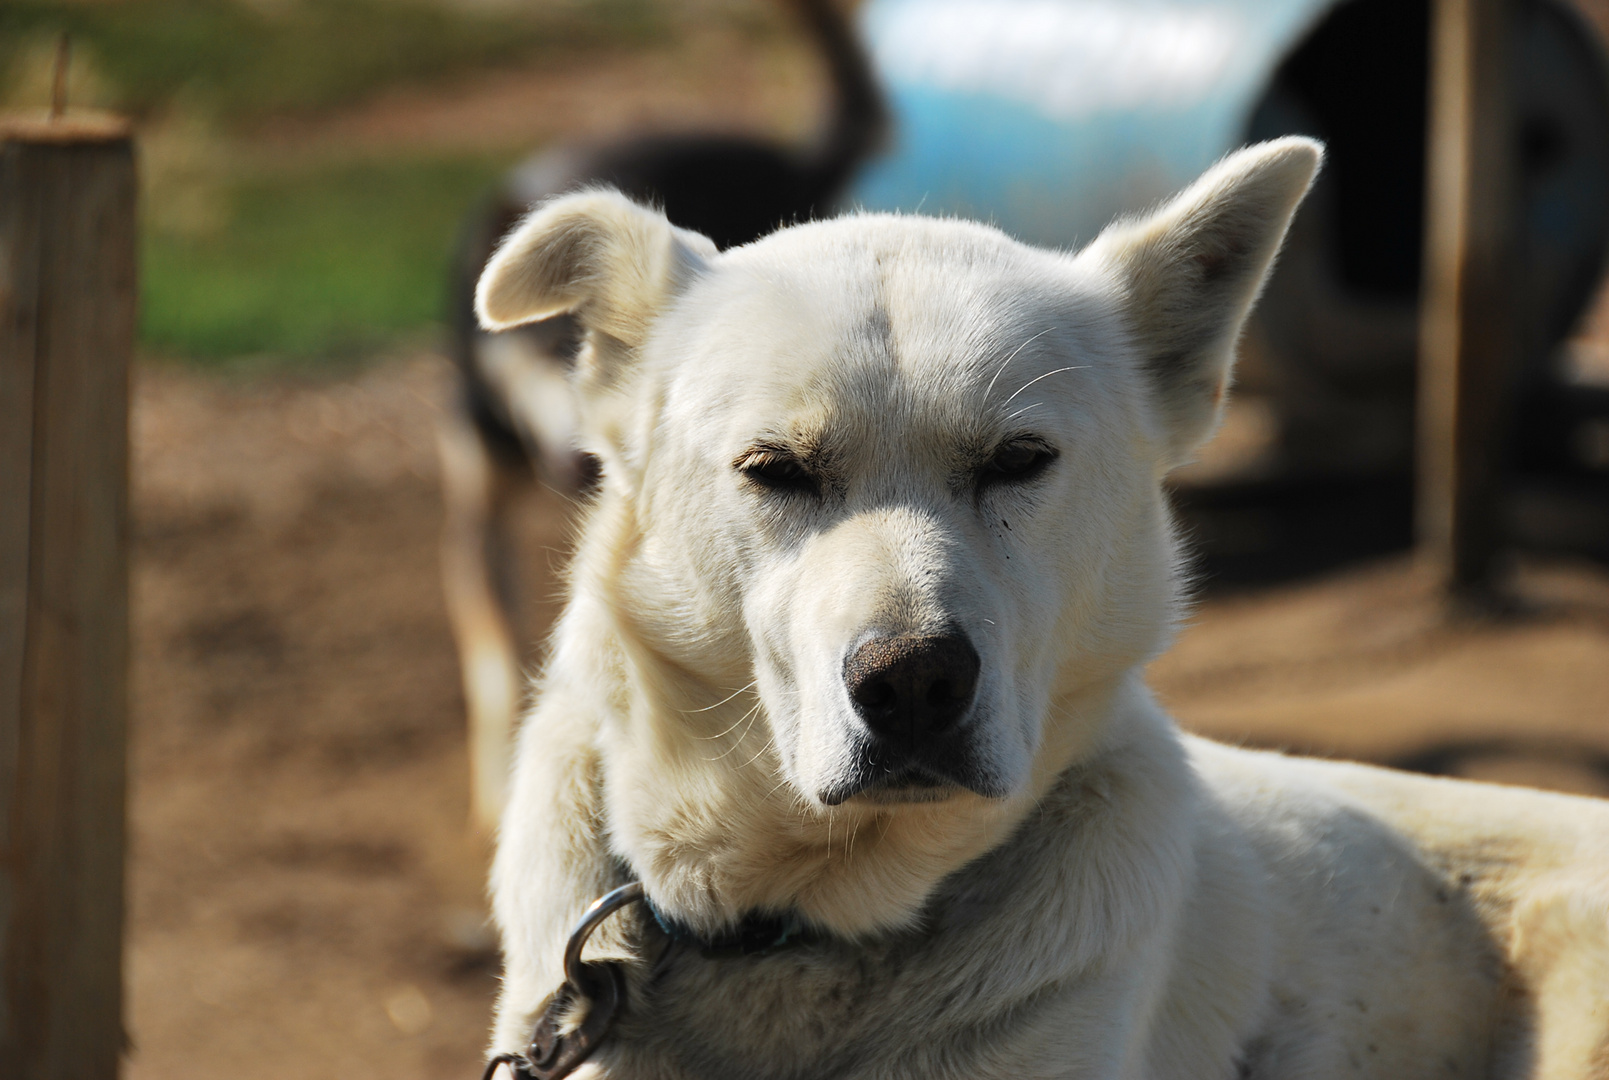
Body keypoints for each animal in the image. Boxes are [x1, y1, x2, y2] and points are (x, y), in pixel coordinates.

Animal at [444, 0, 894, 830]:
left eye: (574, 347)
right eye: (539, 346)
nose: (571, 462)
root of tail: (791, 156)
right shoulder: (475, 507)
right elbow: (492, 657)